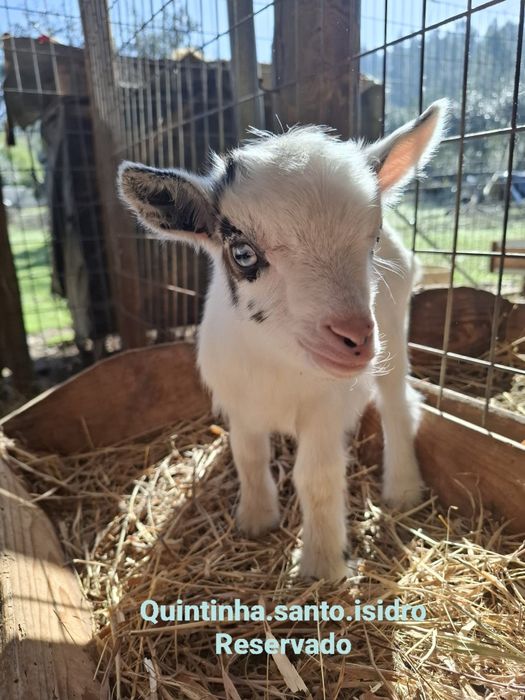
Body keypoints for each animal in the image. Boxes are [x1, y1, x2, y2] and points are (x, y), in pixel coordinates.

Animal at [118, 100, 448, 581]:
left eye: (371, 239)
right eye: (243, 254)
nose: (355, 338)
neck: (278, 364)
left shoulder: (327, 409)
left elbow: (317, 476)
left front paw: (323, 564)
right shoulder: (238, 402)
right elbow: (248, 457)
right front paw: (256, 521)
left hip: (394, 330)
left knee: (398, 404)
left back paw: (403, 488)